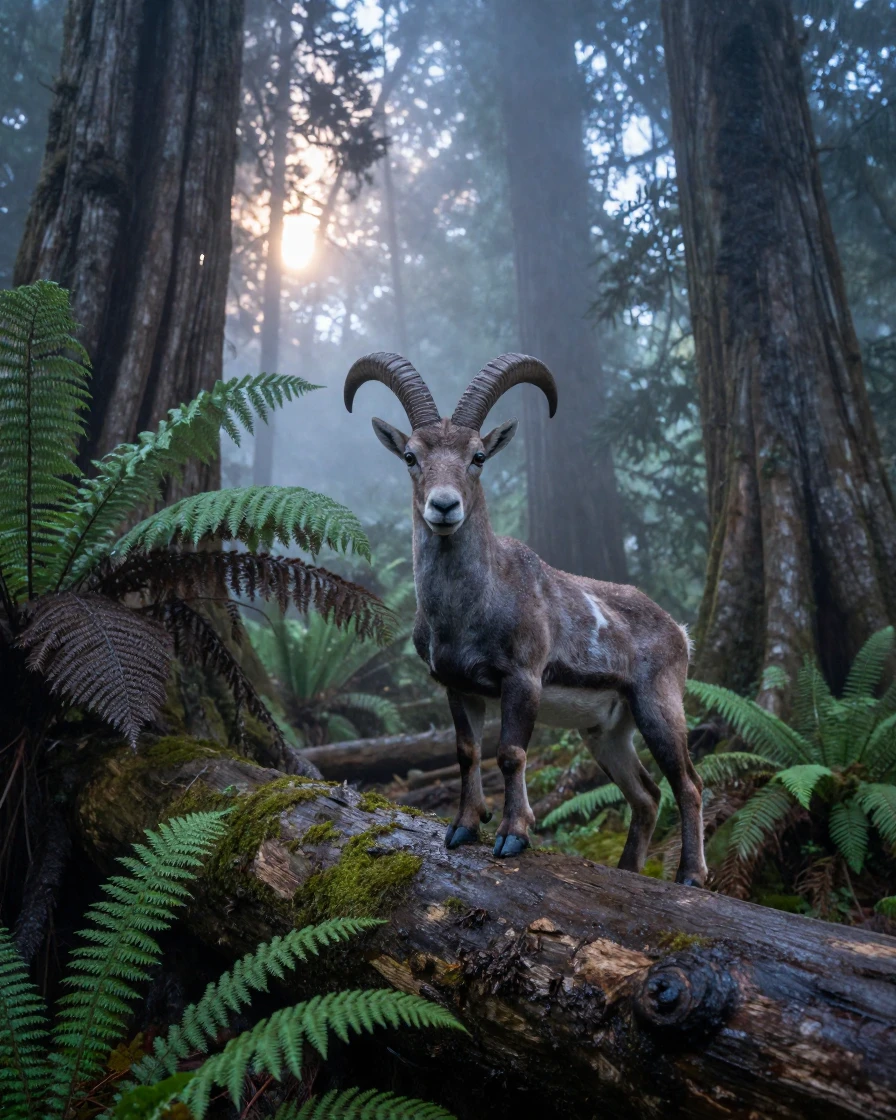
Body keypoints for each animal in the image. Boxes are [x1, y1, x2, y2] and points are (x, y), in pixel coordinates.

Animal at [344, 352, 706, 885]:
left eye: (478, 456)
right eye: (410, 456)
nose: (444, 506)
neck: (470, 610)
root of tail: (678, 630)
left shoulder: (523, 678)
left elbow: (511, 754)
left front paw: (513, 835)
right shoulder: (458, 686)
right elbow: (467, 752)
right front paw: (462, 828)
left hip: (658, 705)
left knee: (688, 783)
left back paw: (690, 876)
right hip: (606, 731)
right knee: (645, 793)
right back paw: (628, 870)